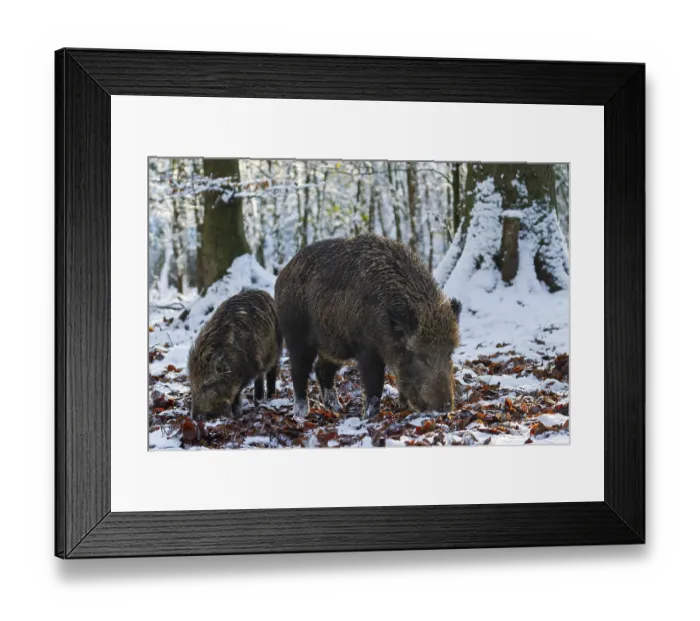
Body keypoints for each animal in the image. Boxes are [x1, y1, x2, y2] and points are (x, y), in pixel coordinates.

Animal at [187, 289, 282, 420]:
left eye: (207, 385)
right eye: (192, 385)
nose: (195, 417)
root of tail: (266, 294)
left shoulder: (248, 369)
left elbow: (237, 392)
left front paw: (234, 413)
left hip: (275, 349)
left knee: (271, 371)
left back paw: (268, 398)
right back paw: (258, 400)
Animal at [274, 235, 462, 419]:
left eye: (449, 353)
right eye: (420, 355)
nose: (445, 408)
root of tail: (283, 274)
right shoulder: (367, 349)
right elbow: (374, 384)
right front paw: (370, 417)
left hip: (333, 346)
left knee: (322, 370)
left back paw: (336, 409)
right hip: (296, 336)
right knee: (298, 372)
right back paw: (302, 414)